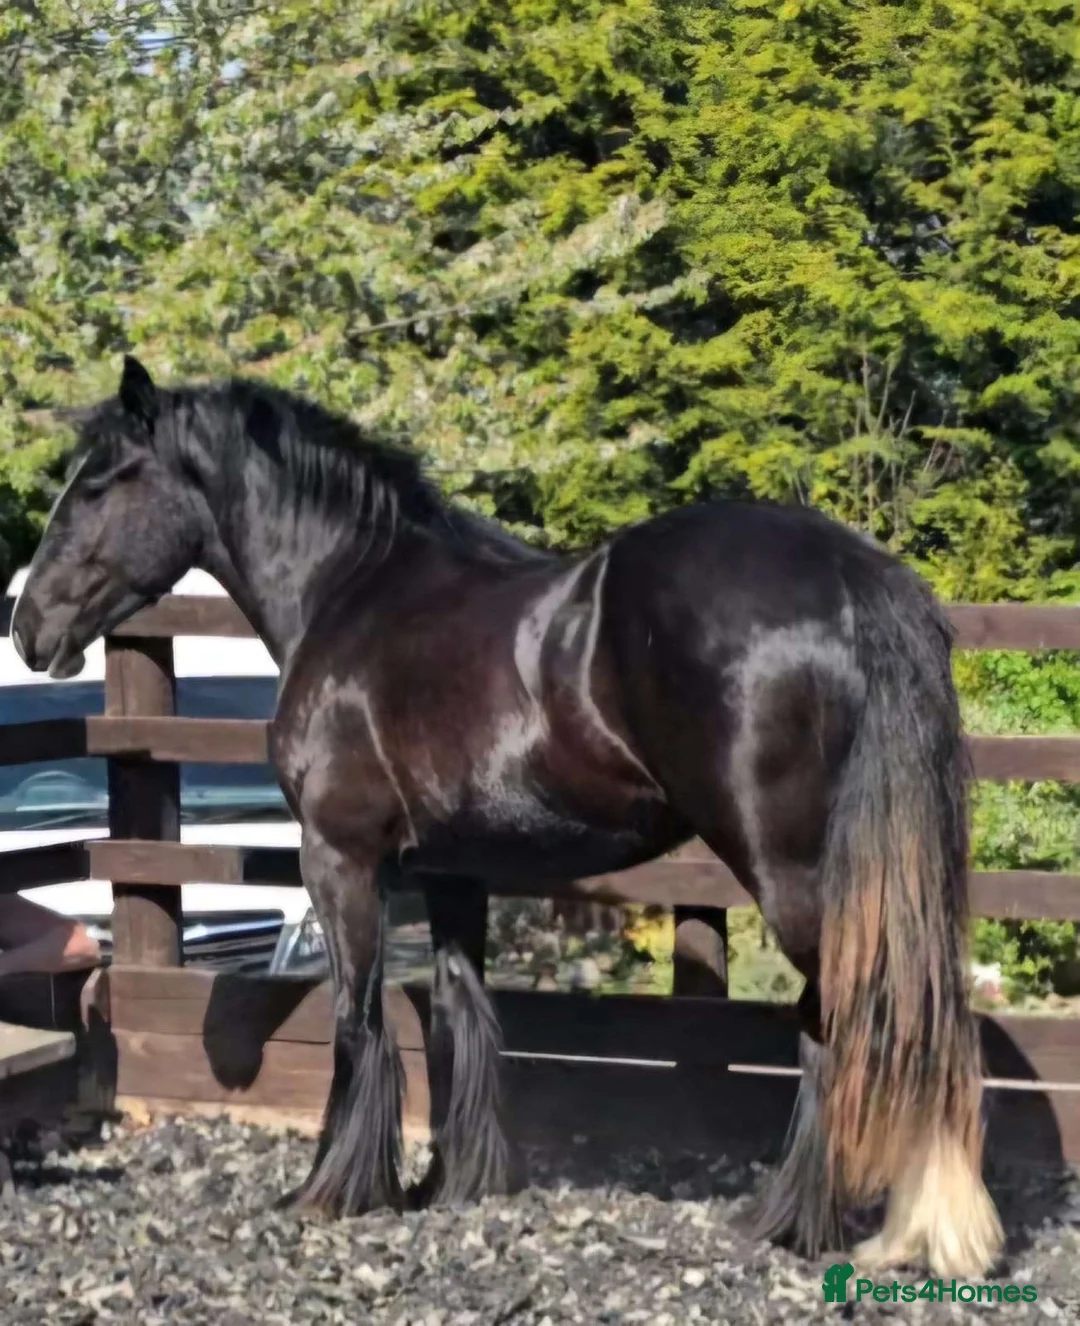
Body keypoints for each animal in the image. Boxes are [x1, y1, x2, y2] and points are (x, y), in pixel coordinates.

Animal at [11, 355, 1004, 1276]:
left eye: (99, 482)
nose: (28, 630)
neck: (352, 592)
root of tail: (848, 572)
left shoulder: (339, 859)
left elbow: (358, 1019)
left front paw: (333, 1189)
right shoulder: (455, 870)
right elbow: (462, 1012)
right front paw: (455, 1181)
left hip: (794, 874)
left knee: (855, 1016)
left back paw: (818, 1221)